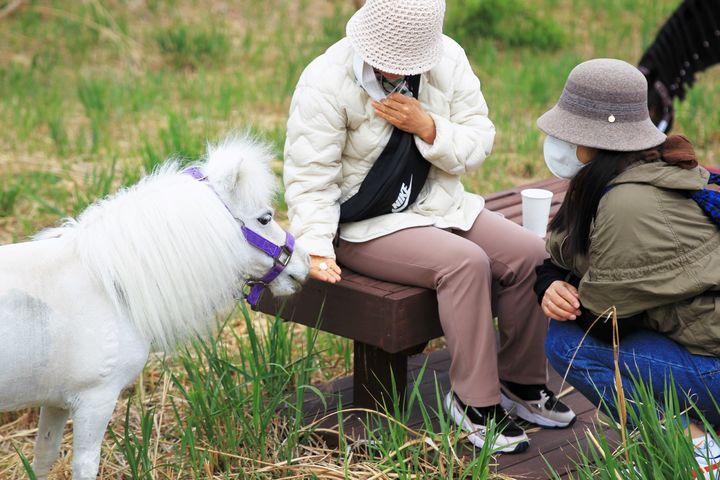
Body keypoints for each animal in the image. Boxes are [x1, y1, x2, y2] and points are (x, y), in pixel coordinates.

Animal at [0, 136, 306, 480]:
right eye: (265, 218)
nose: (304, 264)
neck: (106, 287)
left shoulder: (56, 401)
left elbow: (43, 457)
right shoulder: (94, 400)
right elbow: (85, 464)